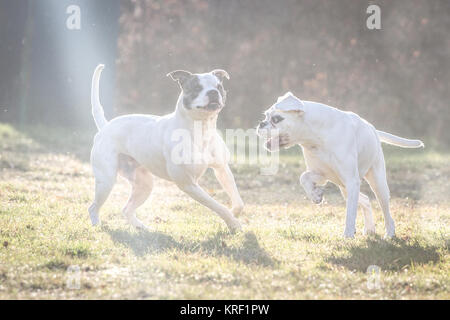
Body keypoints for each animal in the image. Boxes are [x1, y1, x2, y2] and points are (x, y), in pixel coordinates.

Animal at [88, 63, 243, 232]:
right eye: (197, 87)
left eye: (219, 87)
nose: (213, 92)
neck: (201, 129)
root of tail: (105, 126)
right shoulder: (188, 184)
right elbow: (217, 205)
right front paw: (233, 223)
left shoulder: (222, 169)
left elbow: (237, 200)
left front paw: (234, 213)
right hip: (106, 181)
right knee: (93, 207)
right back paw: (97, 225)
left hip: (144, 184)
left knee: (126, 209)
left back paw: (142, 228)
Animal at [258, 92, 424, 238]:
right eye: (266, 115)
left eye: (276, 119)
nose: (260, 124)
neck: (317, 135)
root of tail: (373, 129)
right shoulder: (321, 174)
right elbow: (303, 177)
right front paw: (315, 195)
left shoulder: (351, 181)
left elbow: (350, 213)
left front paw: (347, 236)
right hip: (344, 187)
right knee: (365, 200)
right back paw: (369, 228)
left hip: (377, 184)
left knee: (385, 211)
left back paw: (389, 234)